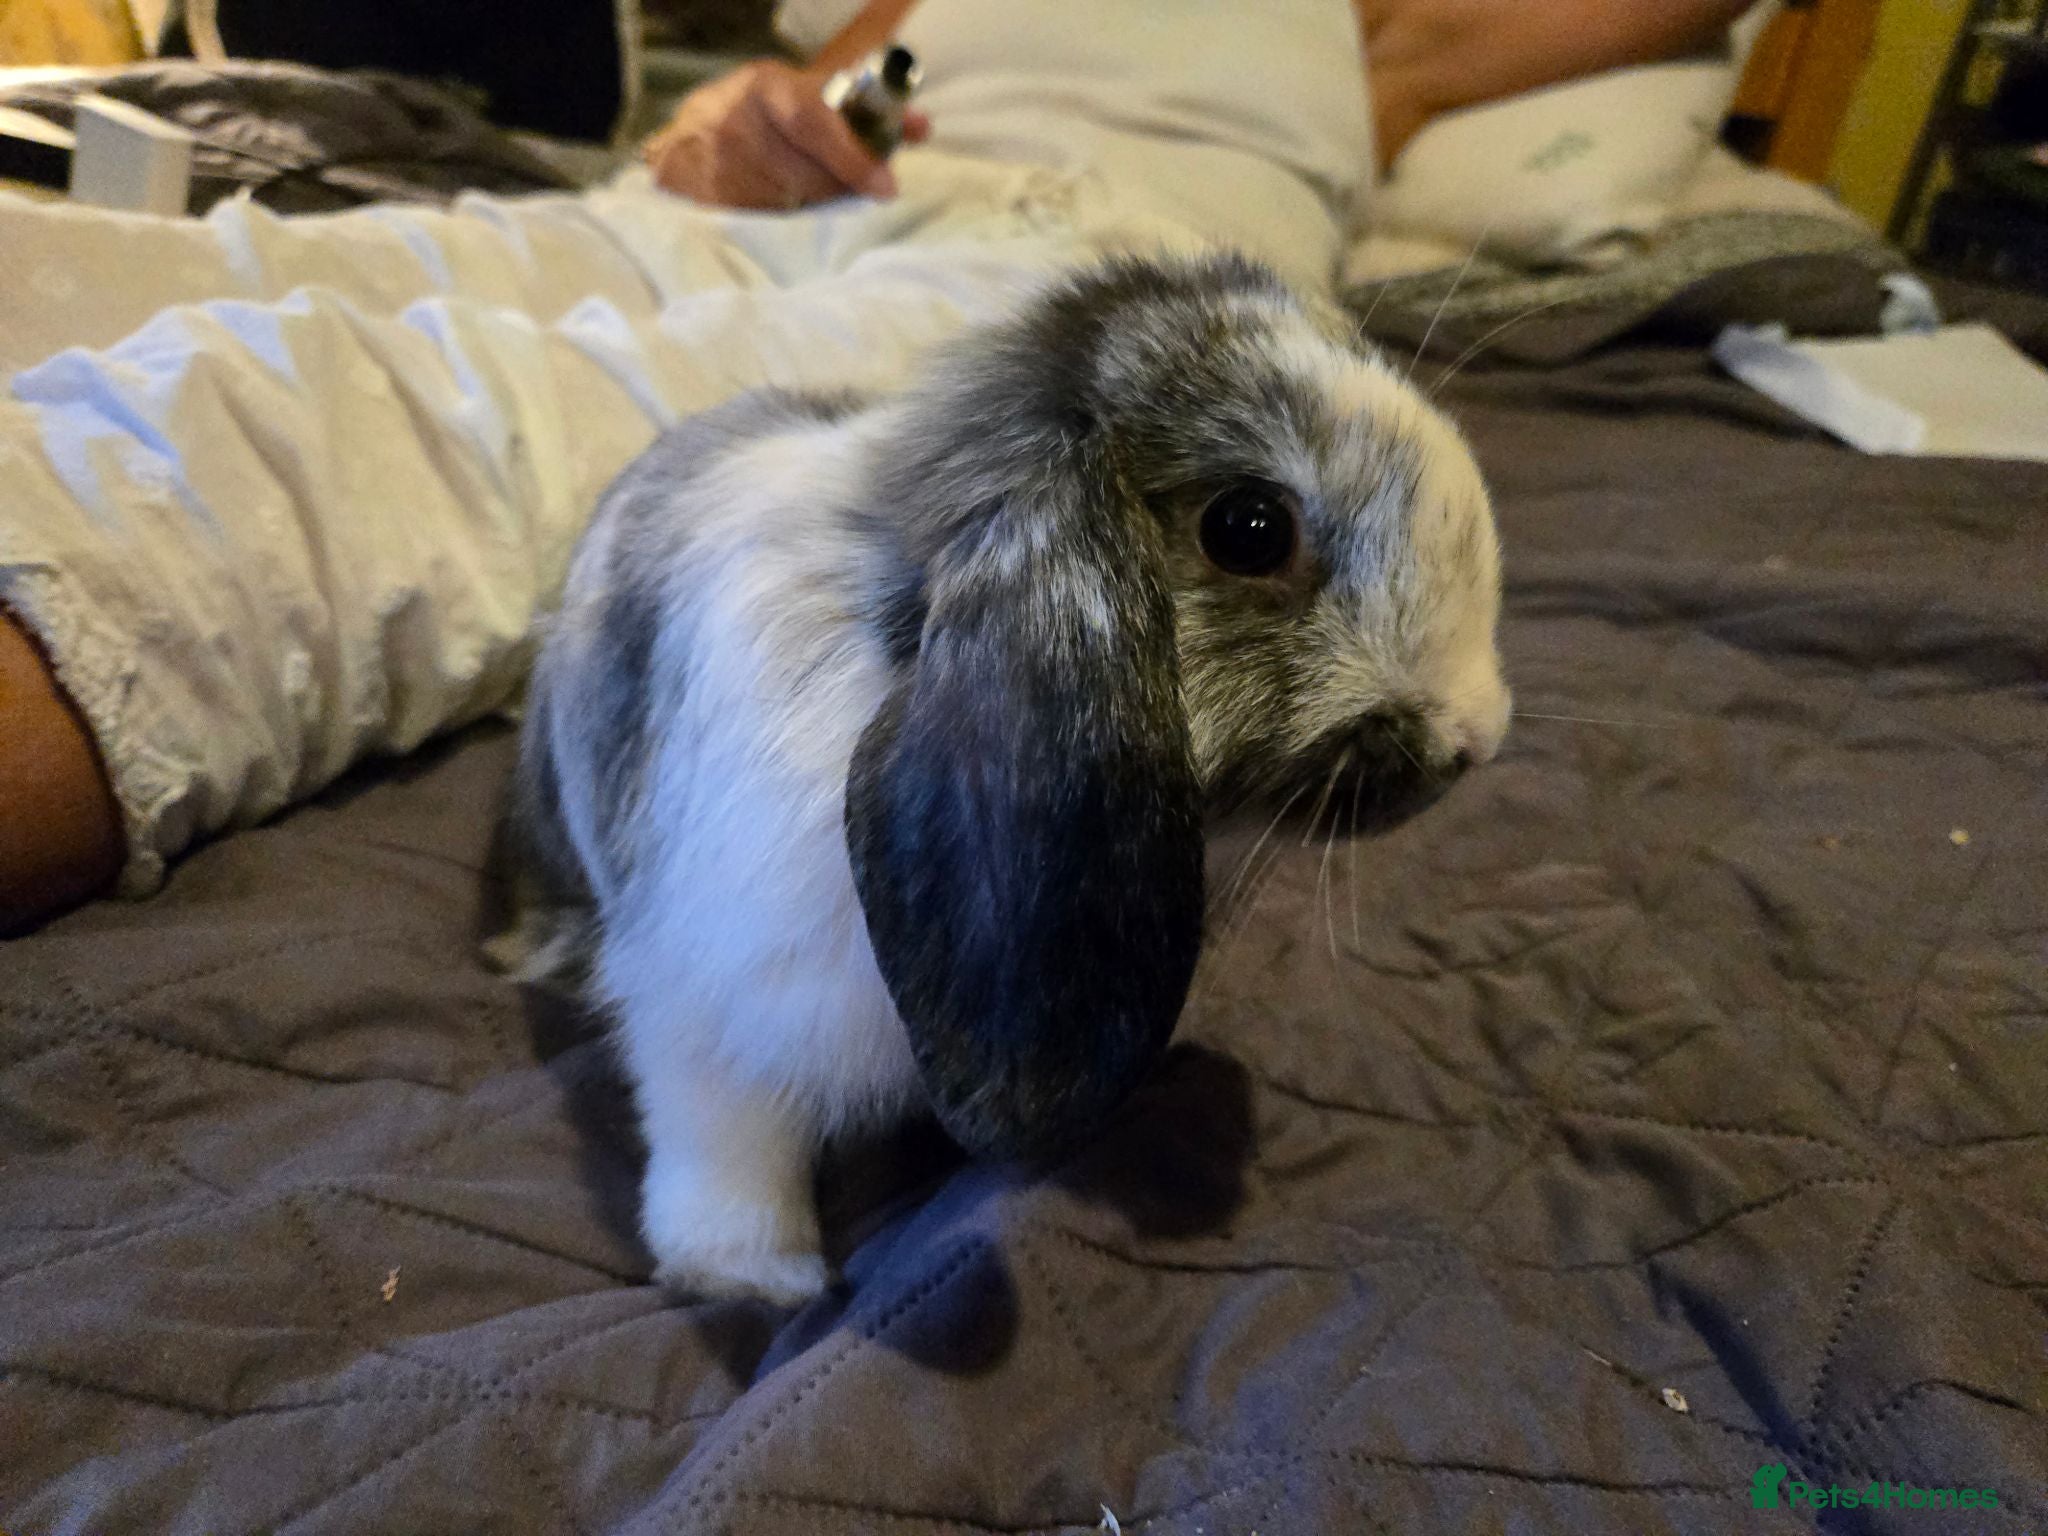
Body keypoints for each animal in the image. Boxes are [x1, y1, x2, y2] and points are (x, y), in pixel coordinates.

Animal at [501, 251, 1511, 1305]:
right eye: (1249, 528)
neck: (891, 639)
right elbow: (728, 1137)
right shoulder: (703, 1000)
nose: (1477, 737)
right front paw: (758, 1277)